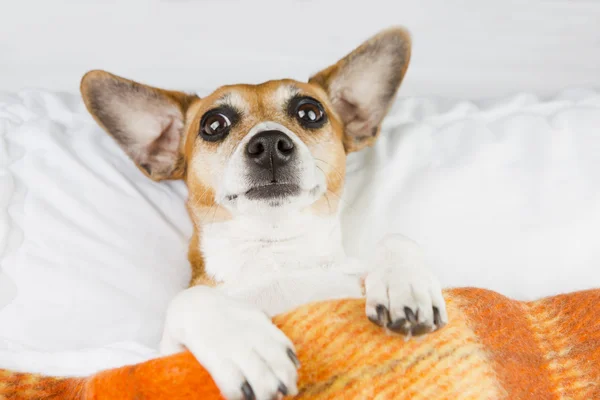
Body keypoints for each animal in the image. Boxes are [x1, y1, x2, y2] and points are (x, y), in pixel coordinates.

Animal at [78, 26, 446, 398]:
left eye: (310, 112)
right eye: (213, 124)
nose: (270, 143)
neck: (276, 254)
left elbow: (396, 238)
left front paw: (403, 282)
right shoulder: (165, 357)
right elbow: (189, 299)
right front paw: (247, 347)